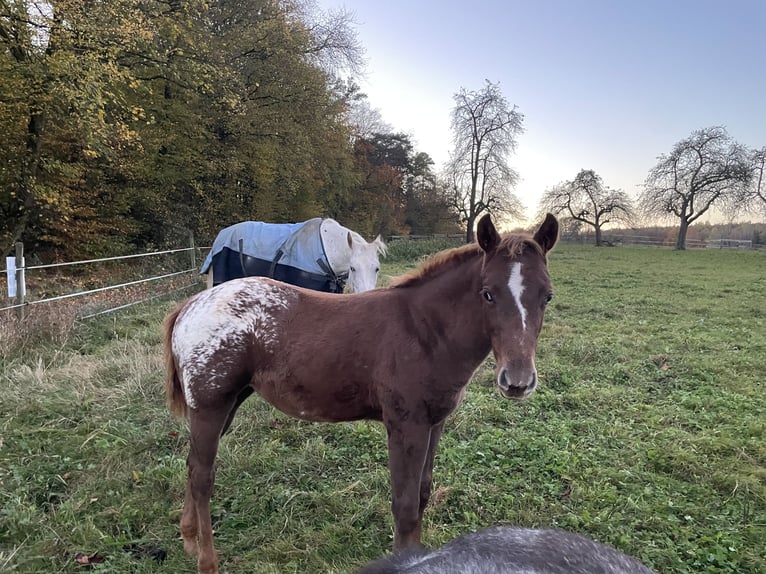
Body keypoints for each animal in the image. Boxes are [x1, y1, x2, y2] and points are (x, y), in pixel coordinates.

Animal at [165, 214, 560, 572]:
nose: (518, 381)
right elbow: (404, 506)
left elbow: (422, 493)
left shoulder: (435, 423)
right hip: (210, 405)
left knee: (191, 465)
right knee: (203, 476)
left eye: (547, 296)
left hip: (227, 405)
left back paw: (188, 538)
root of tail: (191, 305)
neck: (424, 332)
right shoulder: (406, 425)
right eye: (488, 293)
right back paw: (207, 561)